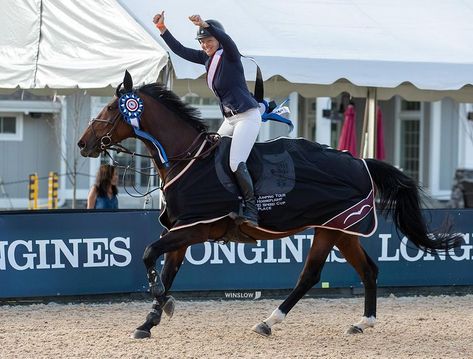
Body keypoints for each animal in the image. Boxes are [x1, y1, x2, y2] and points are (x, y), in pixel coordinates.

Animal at [77, 71, 460, 340]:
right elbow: (166, 271)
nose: (83, 143)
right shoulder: (182, 231)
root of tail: (361, 161)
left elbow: (148, 255)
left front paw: (160, 303)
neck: (189, 159)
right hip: (341, 230)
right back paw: (362, 323)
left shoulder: (195, 228)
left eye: (110, 108)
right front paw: (149, 321)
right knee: (366, 270)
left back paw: (269, 320)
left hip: (332, 229)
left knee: (311, 275)